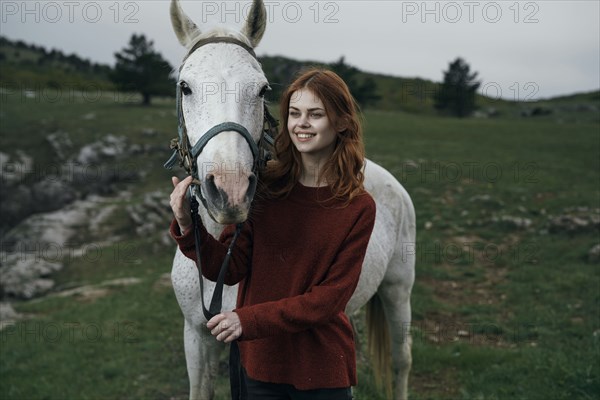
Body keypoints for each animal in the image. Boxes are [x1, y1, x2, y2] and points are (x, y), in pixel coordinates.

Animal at [166, 1, 414, 398]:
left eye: (263, 89)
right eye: (185, 87)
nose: (230, 190)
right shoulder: (197, 337)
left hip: (398, 290)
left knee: (401, 360)